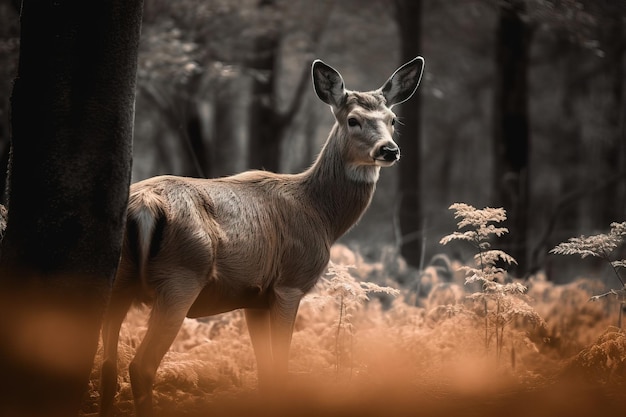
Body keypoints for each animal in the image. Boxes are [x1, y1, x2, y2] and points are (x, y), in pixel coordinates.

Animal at [100, 56, 422, 416]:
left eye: (392, 119)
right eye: (353, 120)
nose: (389, 150)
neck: (320, 215)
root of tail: (144, 204)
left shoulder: (252, 296)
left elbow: (264, 371)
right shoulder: (289, 284)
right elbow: (280, 368)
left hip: (119, 278)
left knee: (107, 367)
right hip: (181, 275)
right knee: (140, 366)